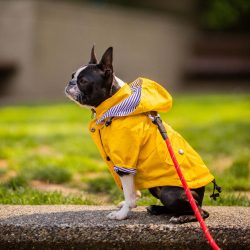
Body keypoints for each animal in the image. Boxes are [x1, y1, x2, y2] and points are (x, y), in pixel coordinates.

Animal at [65, 46, 216, 224]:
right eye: (72, 76)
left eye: (83, 81)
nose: (69, 83)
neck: (114, 106)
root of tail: (202, 195)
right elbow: (131, 191)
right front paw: (128, 204)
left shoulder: (125, 162)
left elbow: (129, 193)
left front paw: (122, 214)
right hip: (155, 187)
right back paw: (157, 209)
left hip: (171, 193)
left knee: (201, 212)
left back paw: (181, 217)